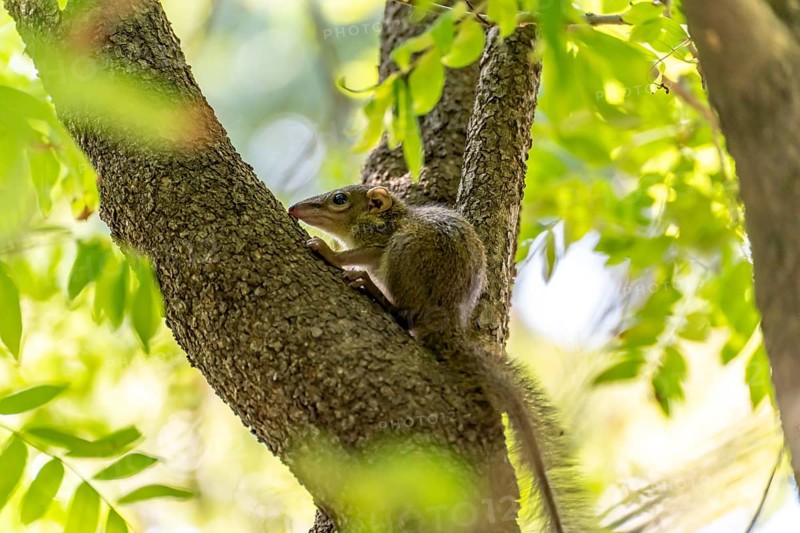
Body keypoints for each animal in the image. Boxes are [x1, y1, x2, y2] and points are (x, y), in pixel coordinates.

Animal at [289, 184, 597, 533]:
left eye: (339, 199)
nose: (294, 209)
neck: (389, 216)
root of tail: (445, 322)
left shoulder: (379, 240)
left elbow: (356, 254)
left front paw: (329, 253)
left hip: (405, 254)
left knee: (404, 315)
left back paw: (372, 289)